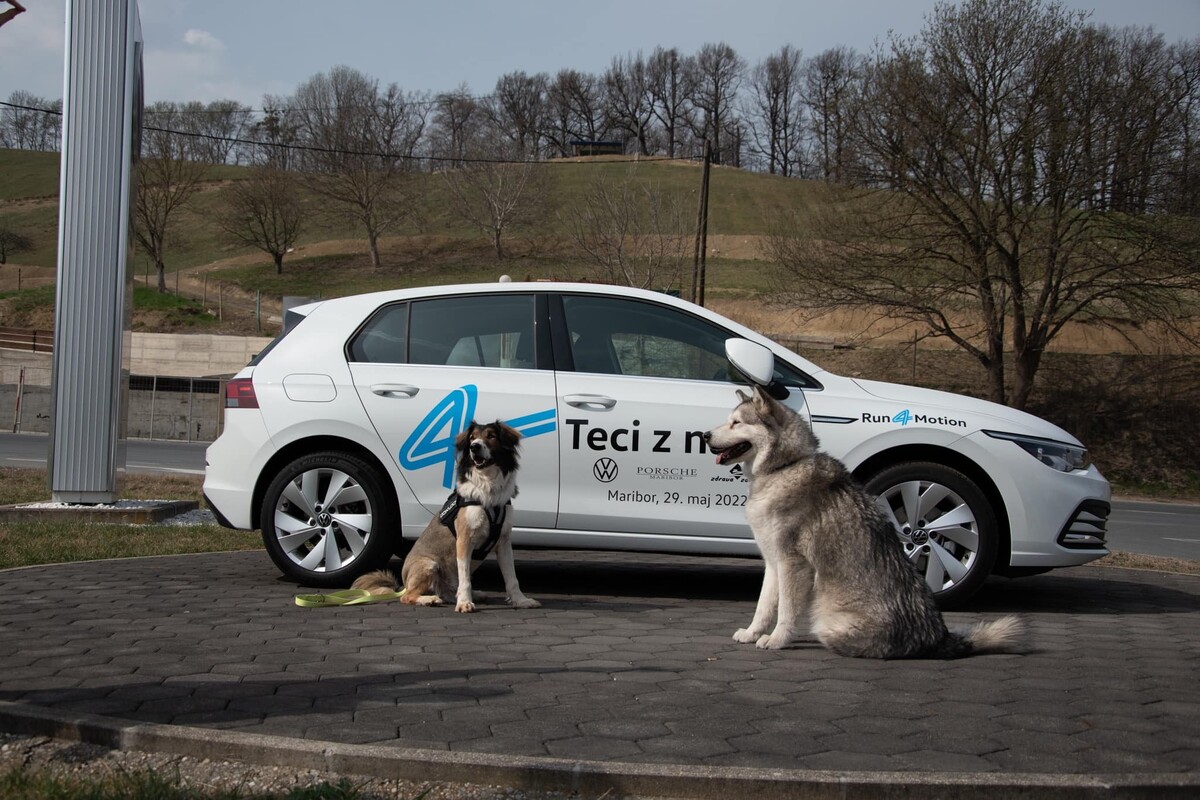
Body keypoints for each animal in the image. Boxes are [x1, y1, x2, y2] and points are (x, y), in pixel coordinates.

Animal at [350, 422, 540, 618]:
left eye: (491, 436)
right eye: (472, 438)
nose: (474, 447)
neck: (488, 488)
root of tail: (404, 582)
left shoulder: (503, 542)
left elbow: (512, 577)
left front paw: (521, 601)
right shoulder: (464, 540)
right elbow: (465, 579)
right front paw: (464, 603)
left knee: (447, 592)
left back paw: (470, 595)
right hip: (429, 565)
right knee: (407, 597)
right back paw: (429, 599)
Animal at [700, 383, 1022, 662]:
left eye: (736, 423)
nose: (704, 435)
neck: (785, 467)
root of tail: (937, 638)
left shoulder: (793, 563)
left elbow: (786, 611)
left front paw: (777, 640)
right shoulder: (773, 562)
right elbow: (764, 607)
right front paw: (752, 633)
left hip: (825, 619)